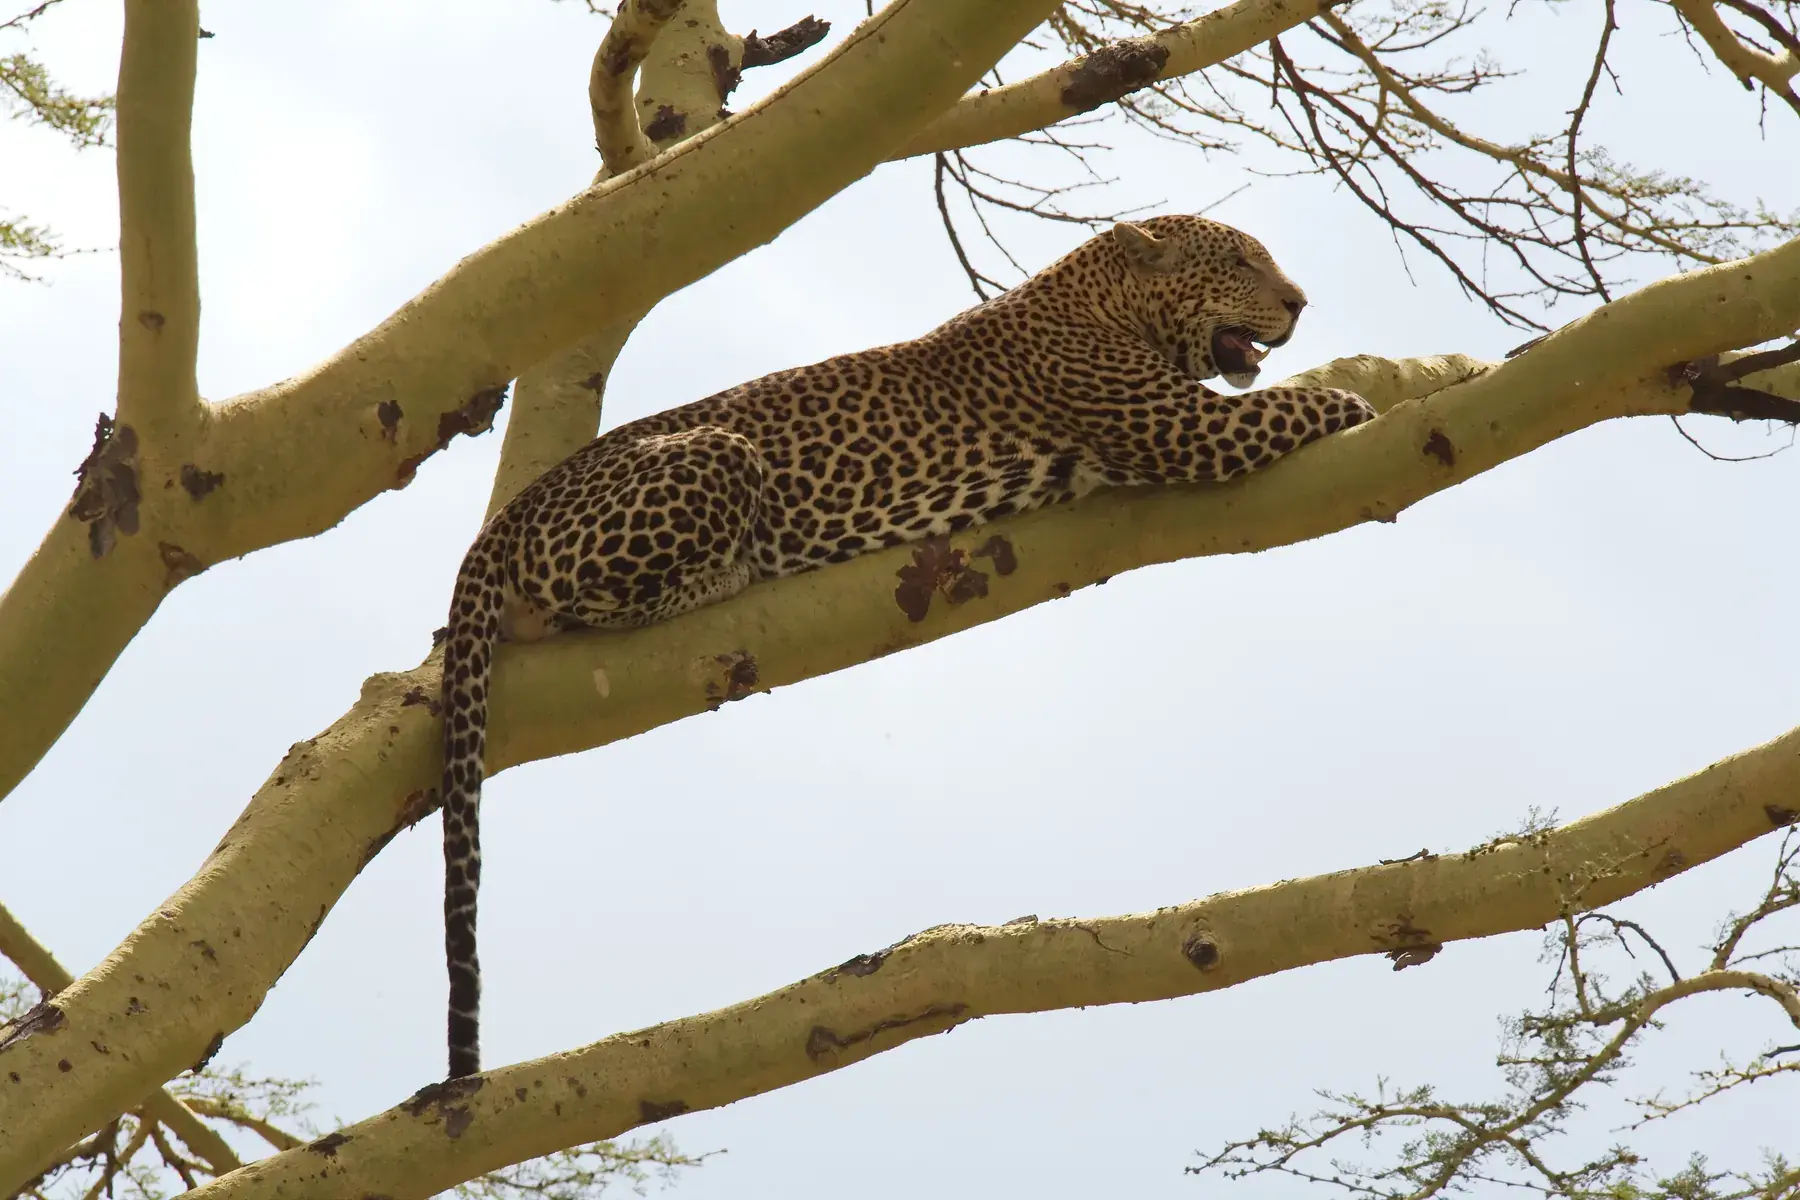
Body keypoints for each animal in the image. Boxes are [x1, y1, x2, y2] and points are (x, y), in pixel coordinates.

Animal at [436, 214, 1378, 1078]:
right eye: (1243, 264)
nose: (1299, 302)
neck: (1109, 299)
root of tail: (505, 519)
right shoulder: (1189, 431)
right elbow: (1286, 403)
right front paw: (1357, 401)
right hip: (714, 458)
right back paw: (725, 575)